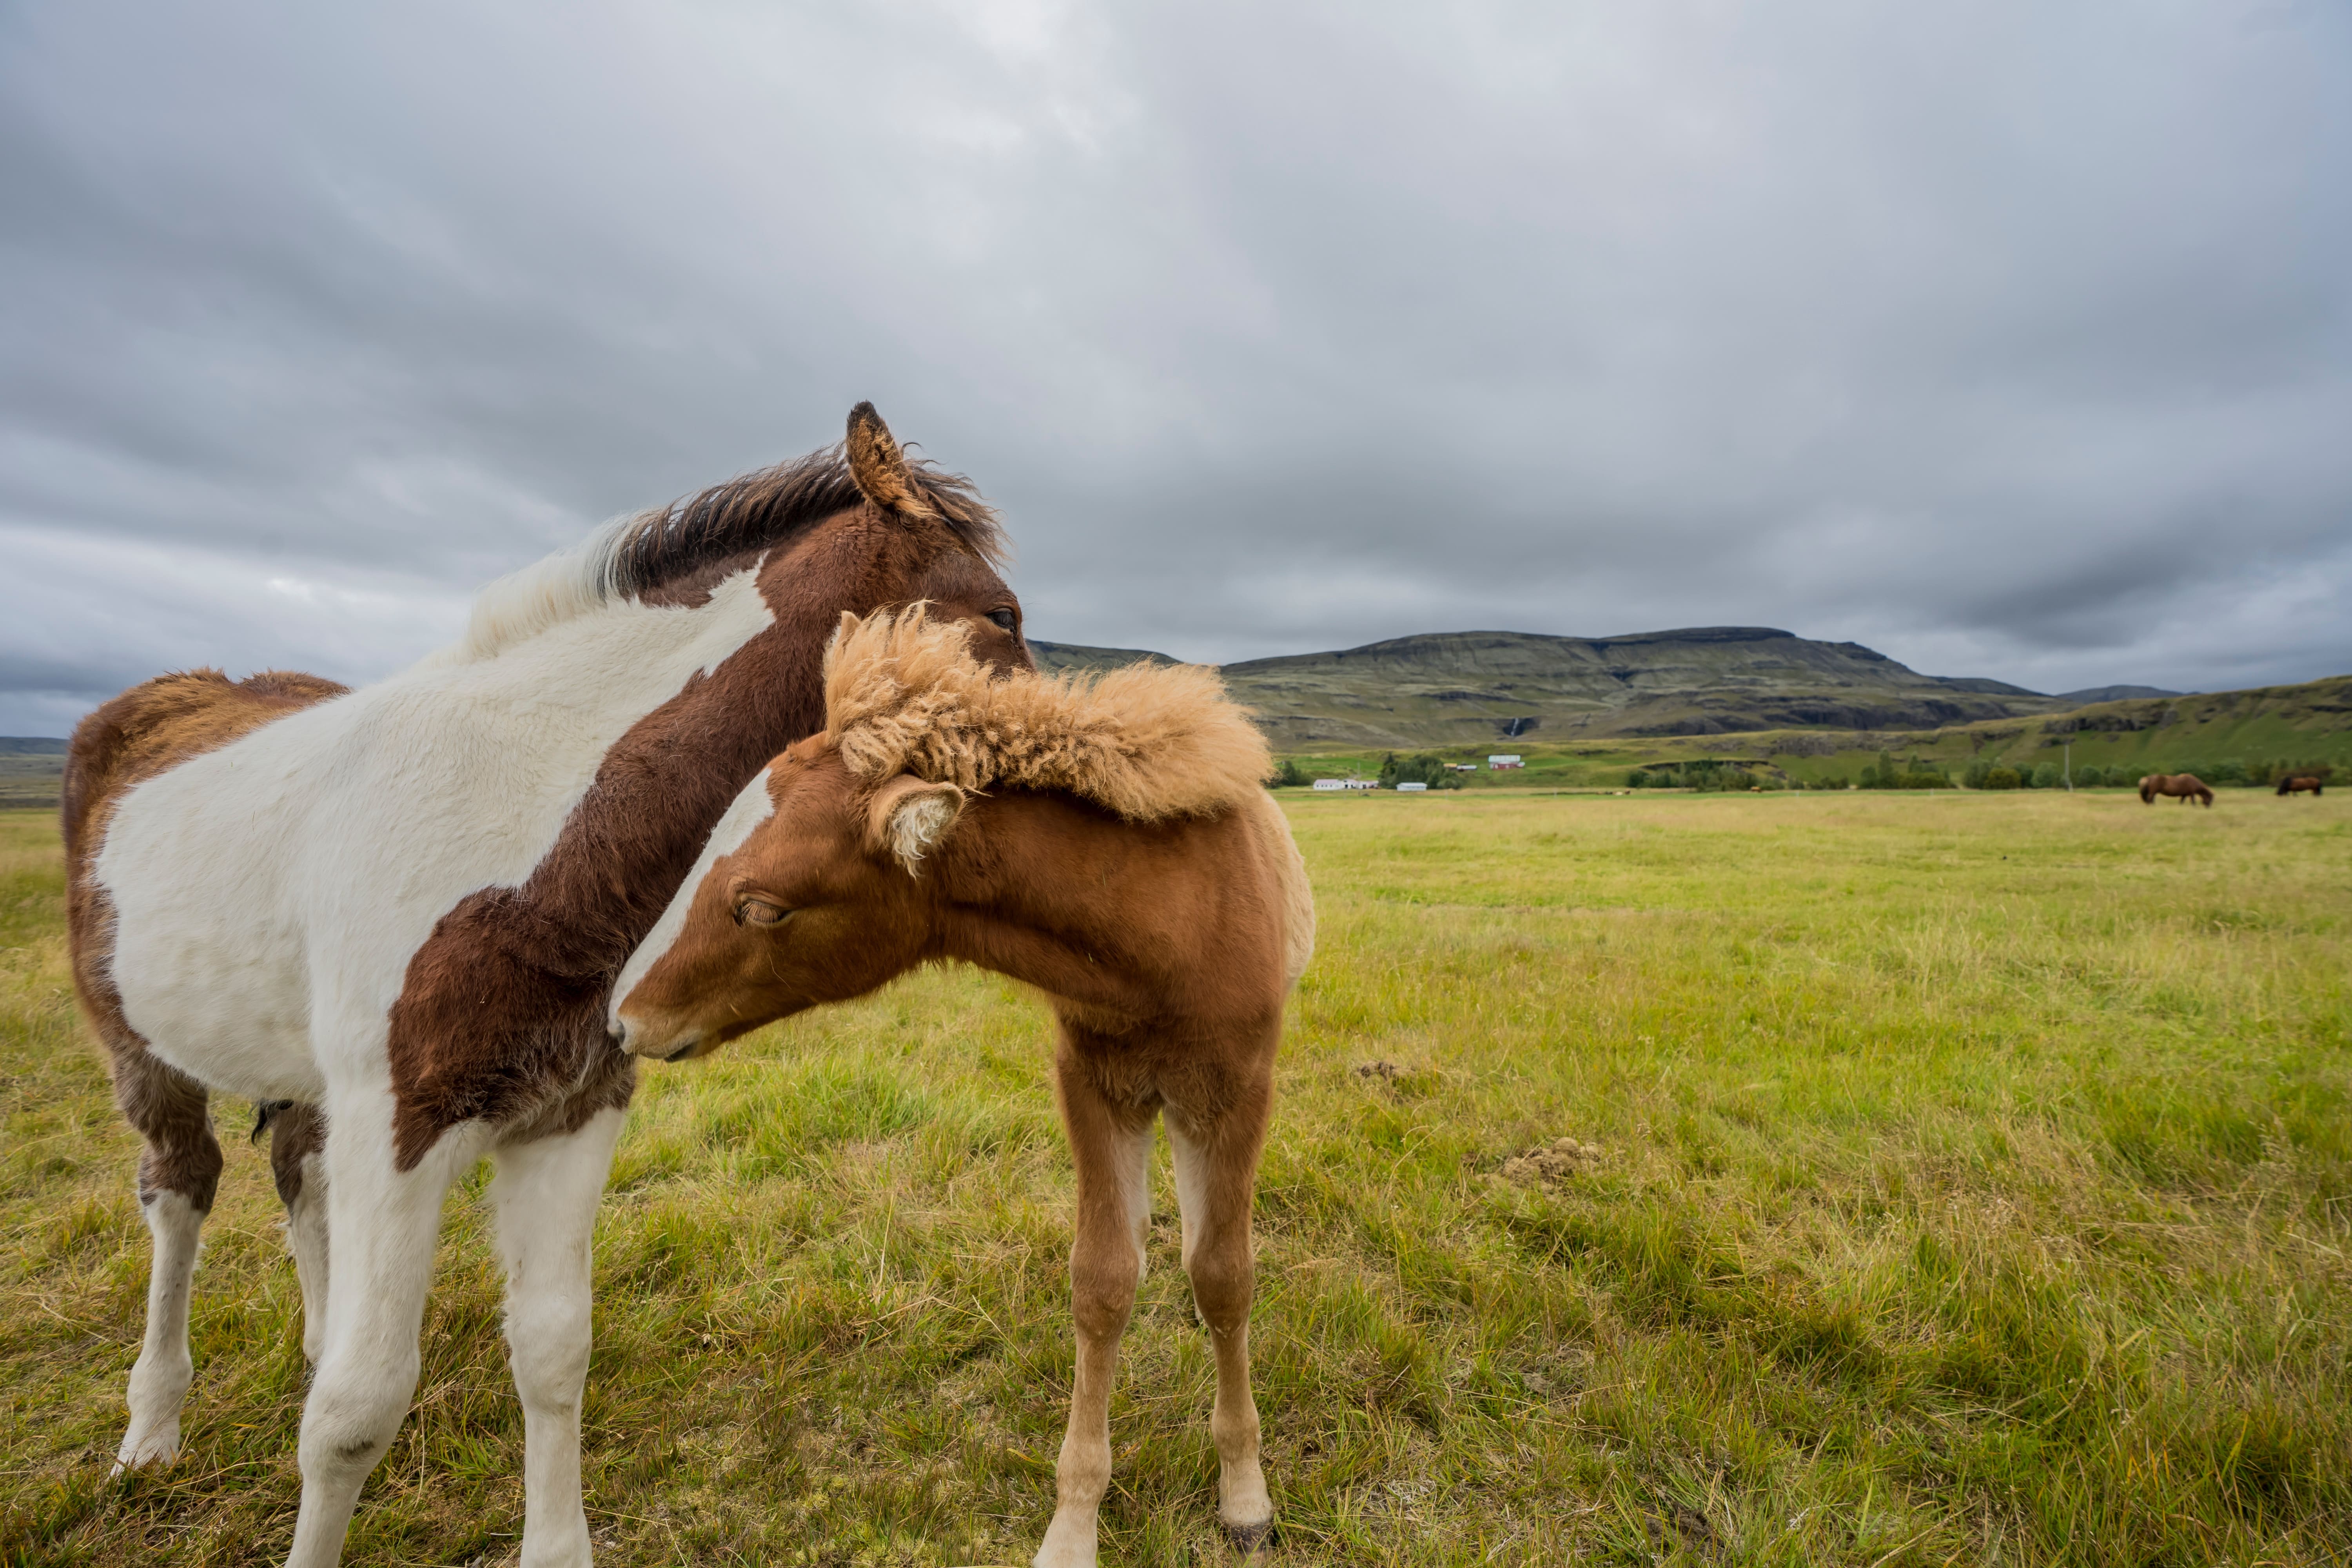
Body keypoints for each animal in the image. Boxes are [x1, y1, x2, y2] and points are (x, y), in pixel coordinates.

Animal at [60, 409, 1021, 1568]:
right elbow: (355, 1413)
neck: (527, 823)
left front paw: (556, 1543)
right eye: (1002, 616)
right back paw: (151, 1430)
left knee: (297, 1175)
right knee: (180, 1193)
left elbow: (554, 1349)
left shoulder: (571, 1110)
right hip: (145, 1057)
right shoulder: (400, 1125)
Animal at [607, 606, 1317, 1561]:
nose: (624, 1019)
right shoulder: (1092, 1084)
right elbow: (1103, 1280)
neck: (1165, 923)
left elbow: (1225, 1277)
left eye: (763, 907)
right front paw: (1073, 1524)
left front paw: (1245, 1495)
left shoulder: (1237, 1091)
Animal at [2145, 776, 2211, 808]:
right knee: (2150, 799)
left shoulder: (2184, 795)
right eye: (2209, 799)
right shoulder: (2192, 794)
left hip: (2154, 793)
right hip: (2153, 792)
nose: (2208, 808)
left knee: (2152, 799)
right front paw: (2195, 808)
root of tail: (2150, 778)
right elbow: (2193, 801)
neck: (2194, 783)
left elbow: (2181, 802)